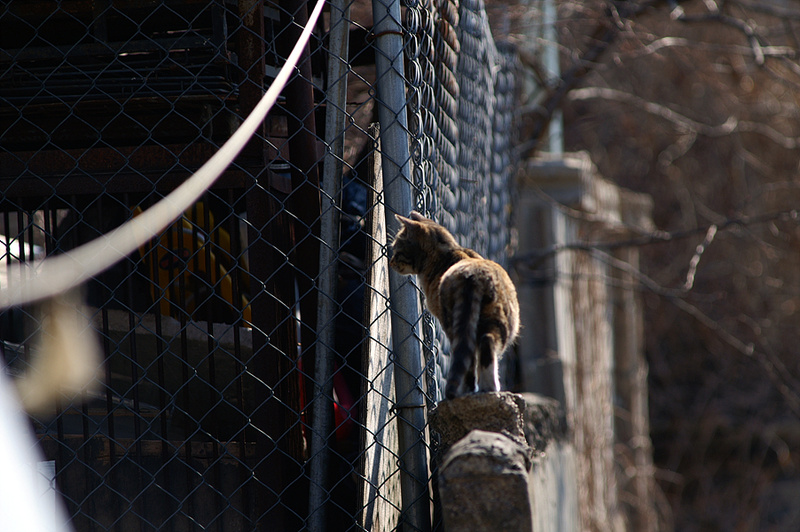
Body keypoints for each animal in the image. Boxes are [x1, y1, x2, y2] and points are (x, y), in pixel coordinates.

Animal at [388, 212, 520, 400]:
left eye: (397, 250)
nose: (390, 262)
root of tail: (472, 276)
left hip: (460, 322)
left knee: (473, 354)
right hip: (494, 319)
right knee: (485, 343)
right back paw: (487, 389)